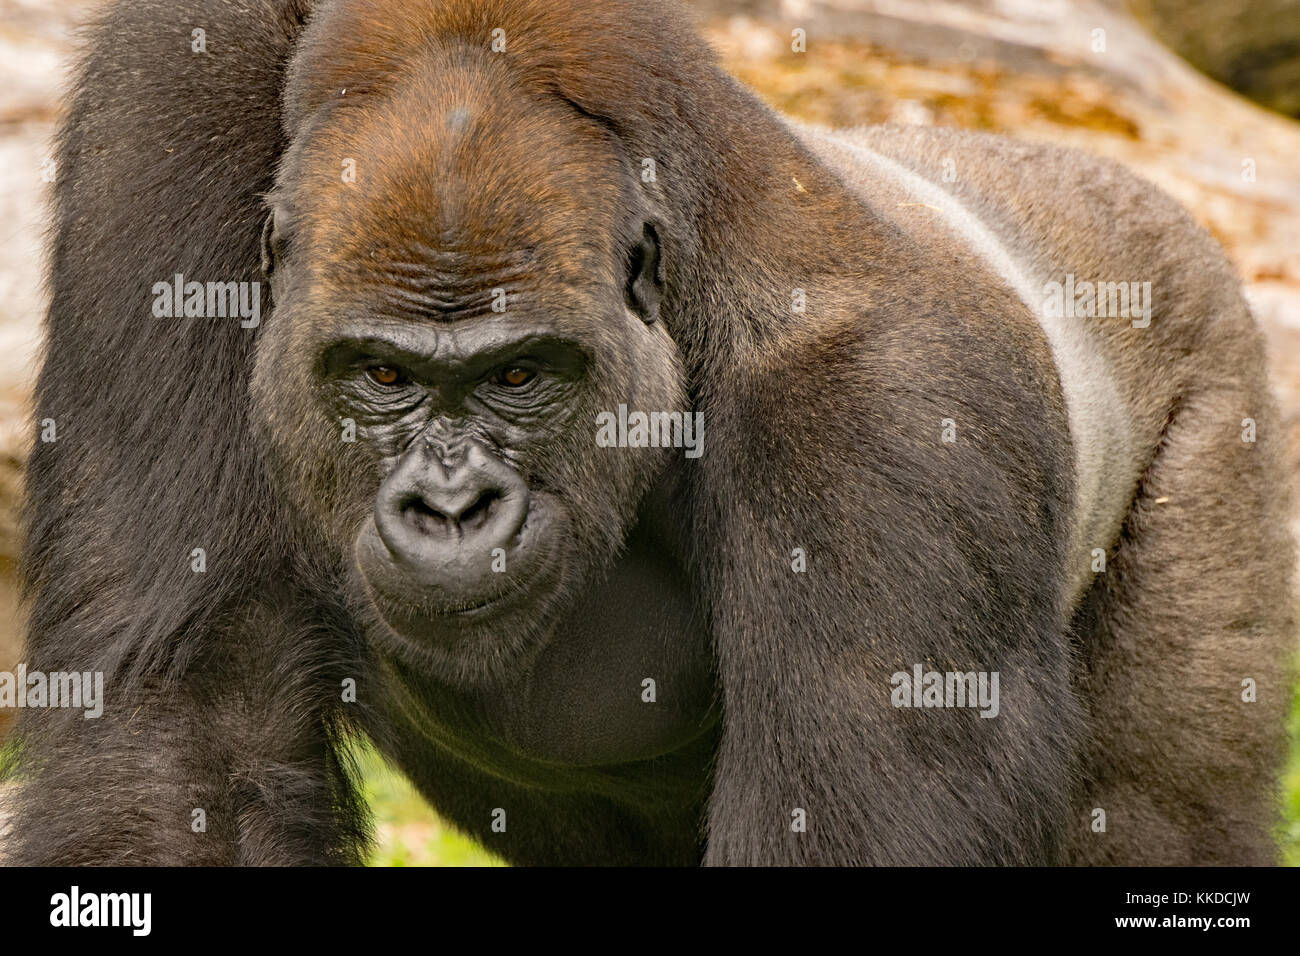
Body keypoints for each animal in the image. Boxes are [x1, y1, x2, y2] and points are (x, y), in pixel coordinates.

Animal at [4, 0, 1292, 866]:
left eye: (523, 375)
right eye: (381, 375)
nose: (450, 507)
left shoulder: (894, 422)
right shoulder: (169, 98)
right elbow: (191, 727)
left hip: (1217, 365)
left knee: (1158, 805)